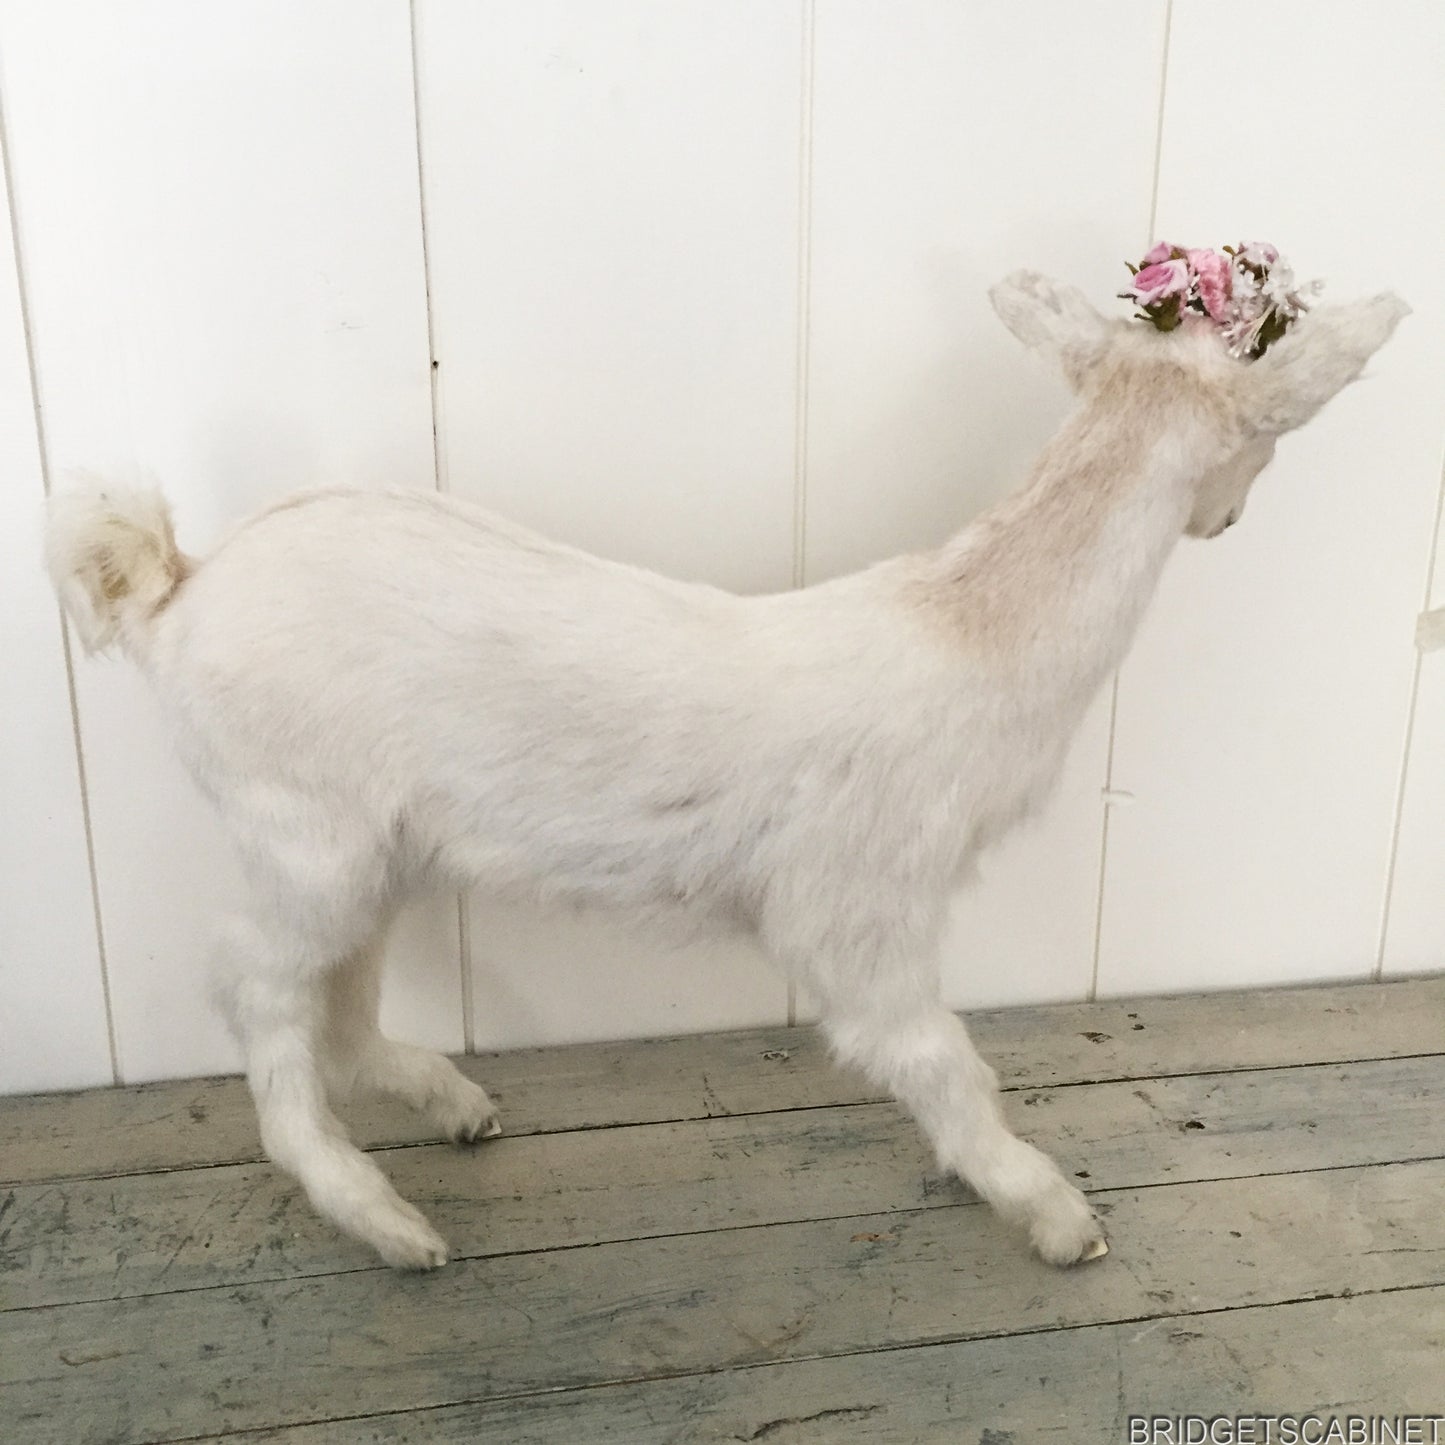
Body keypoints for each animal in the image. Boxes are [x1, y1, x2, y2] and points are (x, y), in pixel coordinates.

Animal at [47, 272, 1407, 1270]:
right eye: (1269, 439)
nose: (1221, 519)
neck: (969, 636)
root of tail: (171, 591)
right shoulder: (857, 904)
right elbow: (938, 1060)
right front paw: (1054, 1212)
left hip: (377, 845)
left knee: (333, 994)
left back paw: (450, 1103)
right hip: (301, 824)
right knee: (254, 986)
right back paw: (384, 1217)